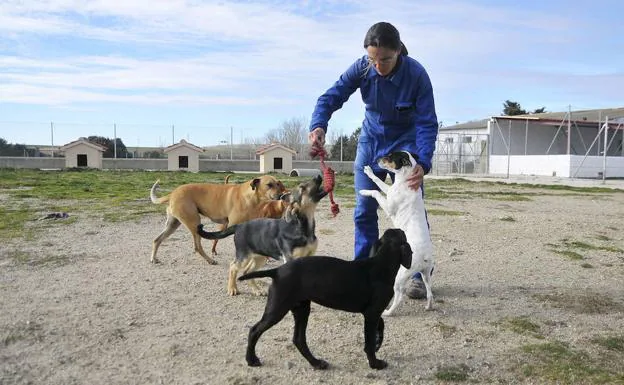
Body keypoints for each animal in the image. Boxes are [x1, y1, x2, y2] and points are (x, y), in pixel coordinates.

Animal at [150, 175, 286, 262]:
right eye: (269, 185)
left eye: (278, 184)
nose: (281, 196)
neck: (250, 196)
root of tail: (172, 193)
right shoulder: (233, 226)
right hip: (194, 223)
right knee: (197, 247)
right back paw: (210, 260)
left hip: (173, 224)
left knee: (157, 240)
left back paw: (154, 258)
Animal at [238, 228, 410, 368]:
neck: (381, 263)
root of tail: (277, 271)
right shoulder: (372, 313)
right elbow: (369, 341)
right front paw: (375, 363)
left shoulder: (371, 312)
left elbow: (381, 325)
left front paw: (378, 342)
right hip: (277, 308)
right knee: (254, 330)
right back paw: (251, 360)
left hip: (301, 309)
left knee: (299, 339)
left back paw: (316, 363)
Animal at [360, 151, 434, 316]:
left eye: (389, 156)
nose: (377, 159)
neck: (405, 180)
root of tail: (425, 255)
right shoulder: (389, 190)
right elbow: (378, 183)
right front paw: (369, 172)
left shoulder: (388, 206)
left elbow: (376, 191)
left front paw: (364, 191)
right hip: (425, 274)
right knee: (430, 293)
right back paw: (429, 307)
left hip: (399, 276)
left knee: (399, 297)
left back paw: (387, 312)